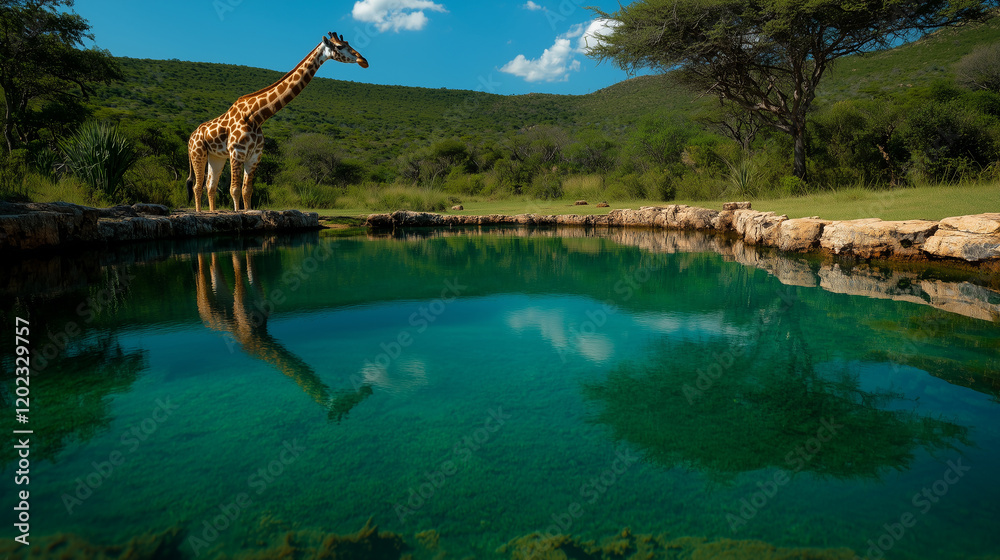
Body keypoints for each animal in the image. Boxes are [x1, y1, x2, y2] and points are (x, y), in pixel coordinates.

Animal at [186, 32, 368, 212]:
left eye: (348, 43)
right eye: (339, 46)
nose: (363, 61)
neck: (256, 116)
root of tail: (191, 137)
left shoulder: (255, 156)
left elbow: (247, 190)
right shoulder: (237, 152)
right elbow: (235, 189)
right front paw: (238, 212)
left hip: (216, 157)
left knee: (210, 186)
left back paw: (213, 211)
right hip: (198, 154)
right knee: (197, 186)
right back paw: (200, 212)